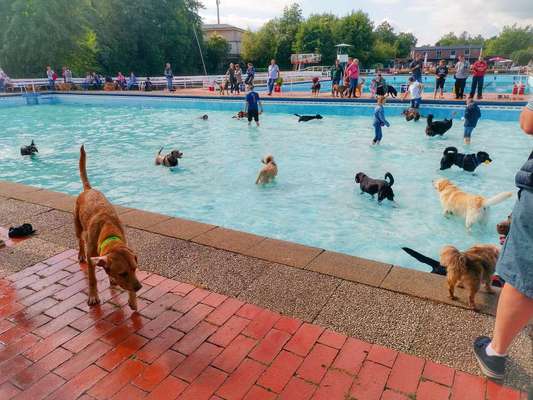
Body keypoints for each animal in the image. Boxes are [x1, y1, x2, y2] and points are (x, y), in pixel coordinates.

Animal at [75, 145, 142, 310]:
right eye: (123, 273)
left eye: (135, 268)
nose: (139, 287)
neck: (109, 231)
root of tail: (88, 189)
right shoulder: (91, 259)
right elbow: (92, 279)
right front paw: (93, 296)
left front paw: (133, 299)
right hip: (77, 226)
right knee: (80, 240)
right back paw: (80, 253)